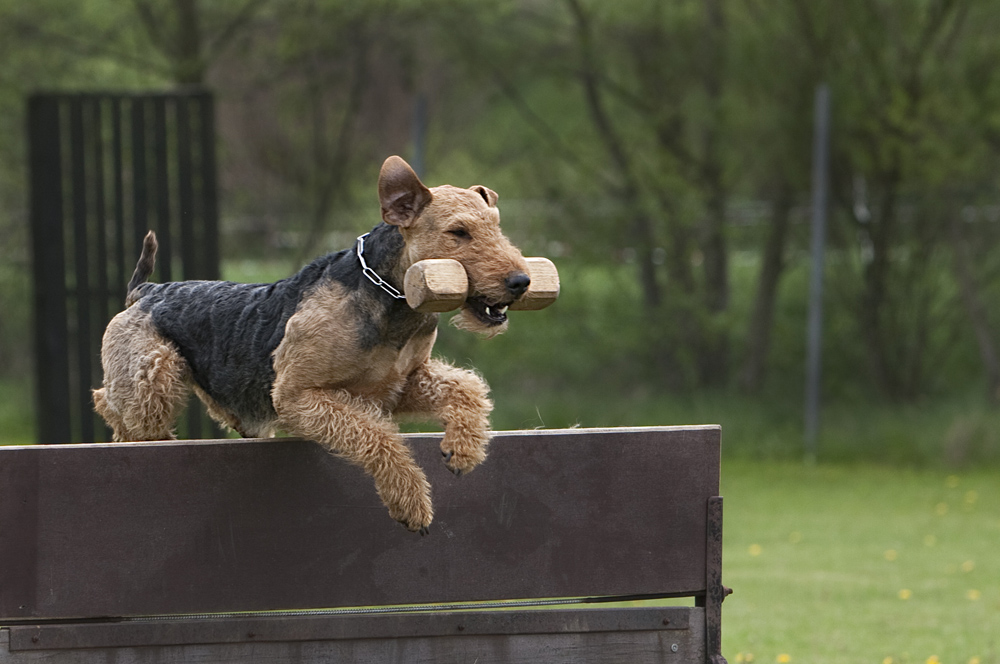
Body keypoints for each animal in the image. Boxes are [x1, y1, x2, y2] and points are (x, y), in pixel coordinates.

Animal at [93, 157, 532, 536]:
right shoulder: (298, 393)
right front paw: (411, 502)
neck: (391, 297)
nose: (521, 281)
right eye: (459, 232)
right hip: (153, 372)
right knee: (110, 404)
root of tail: (146, 289)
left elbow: (465, 387)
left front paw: (463, 450)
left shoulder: (400, 383)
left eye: (496, 227)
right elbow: (378, 438)